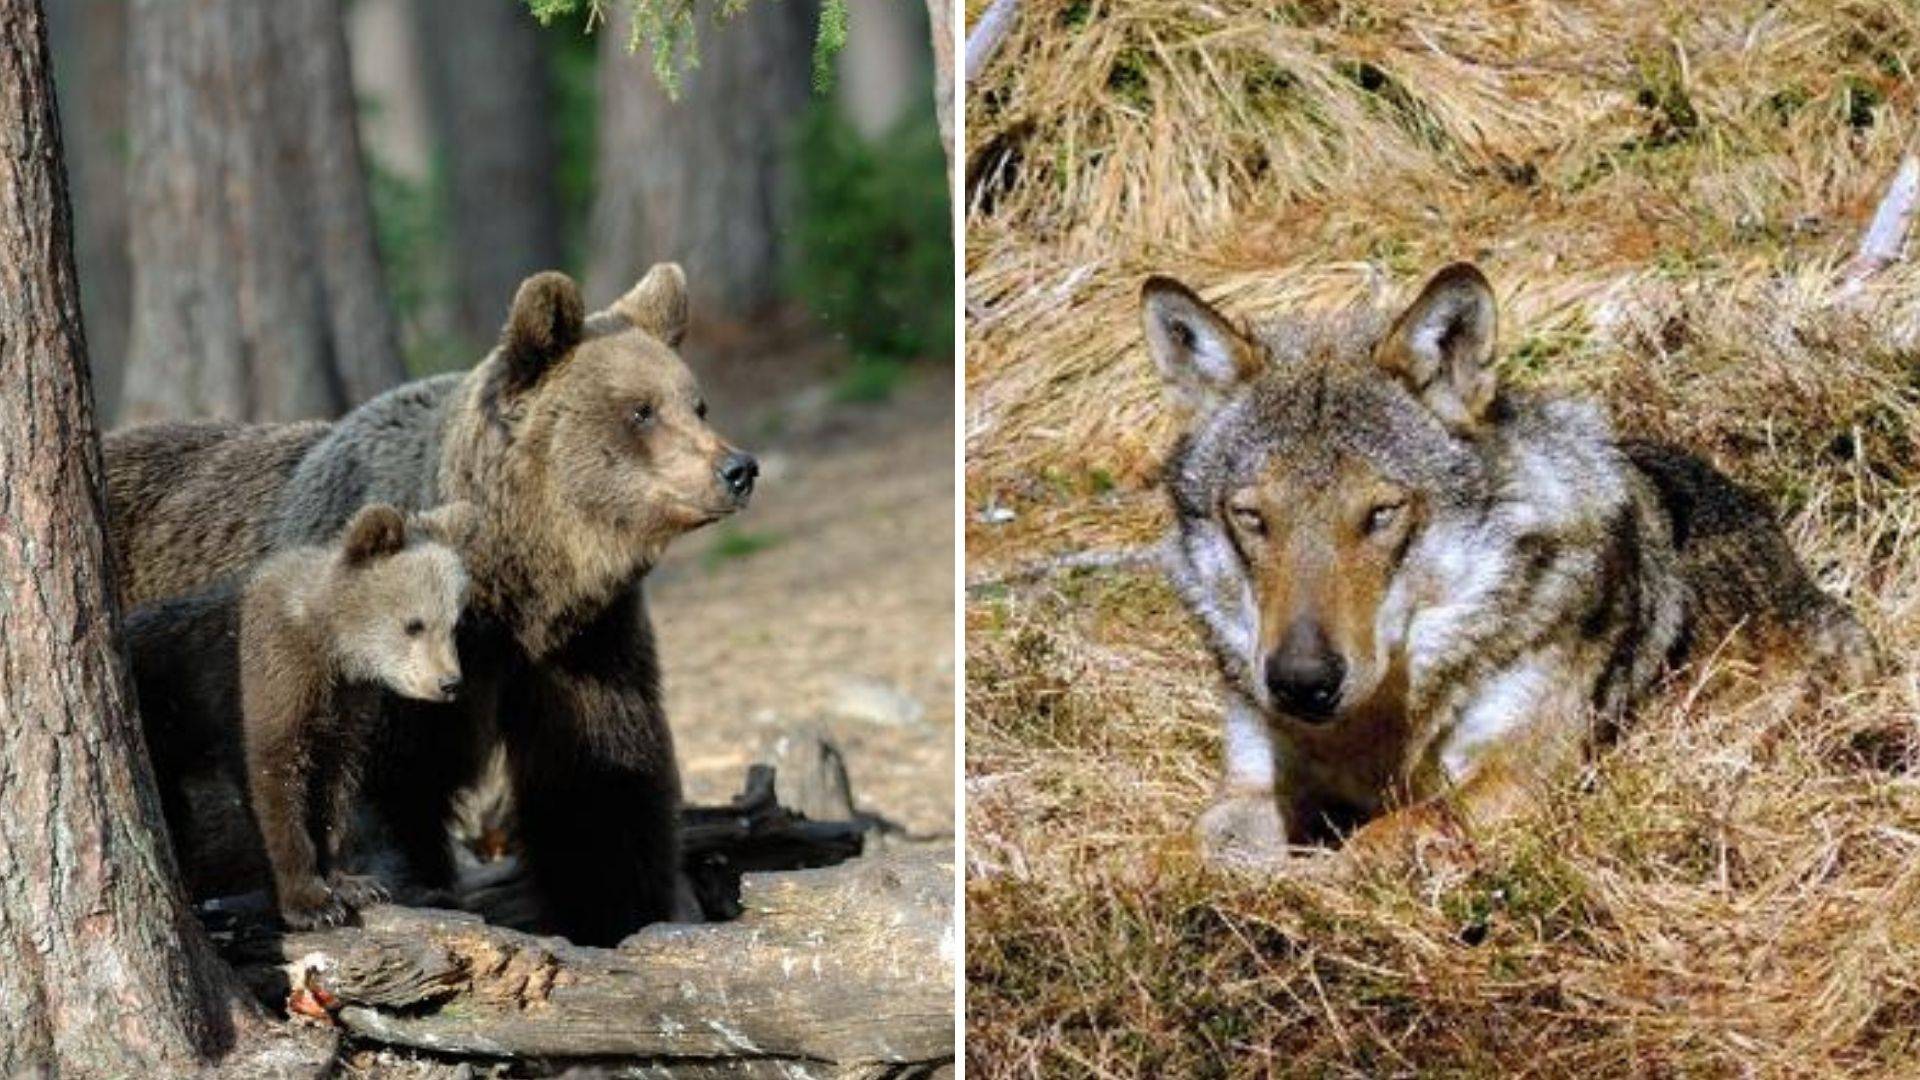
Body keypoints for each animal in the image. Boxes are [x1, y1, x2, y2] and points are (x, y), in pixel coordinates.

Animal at [125, 502, 475, 929]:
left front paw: (353, 883)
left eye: (455, 623)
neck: (331, 646)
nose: (449, 683)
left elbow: (334, 788)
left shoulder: (345, 709)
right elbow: (274, 781)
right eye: (414, 624)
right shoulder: (267, 678)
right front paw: (310, 902)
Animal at [1141, 263, 1875, 866]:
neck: (1372, 733)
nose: (1301, 682)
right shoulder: (1253, 782)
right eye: (1252, 518)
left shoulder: (1516, 776)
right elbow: (1183, 847)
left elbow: (1385, 836)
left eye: (1380, 513)